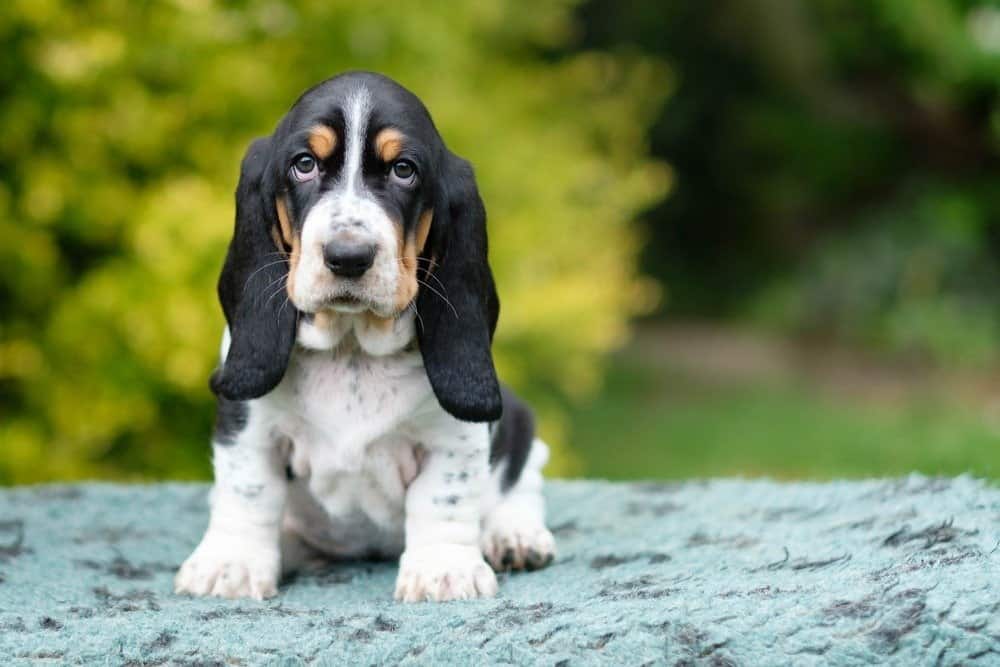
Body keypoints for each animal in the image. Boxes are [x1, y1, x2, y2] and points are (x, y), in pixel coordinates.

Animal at [177, 70, 560, 604]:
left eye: (404, 170)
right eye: (304, 164)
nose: (348, 256)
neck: (352, 348)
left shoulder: (452, 437)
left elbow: (444, 497)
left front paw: (444, 570)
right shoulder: (250, 426)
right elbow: (248, 491)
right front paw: (231, 563)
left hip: (519, 421)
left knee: (521, 479)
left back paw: (514, 535)